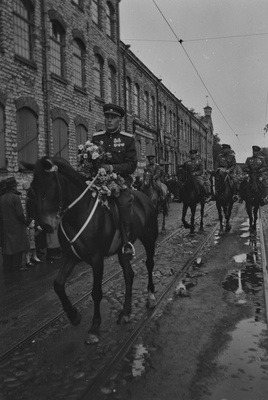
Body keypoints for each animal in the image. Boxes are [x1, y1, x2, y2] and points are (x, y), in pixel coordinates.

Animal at [22, 156, 159, 344]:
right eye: (33, 191)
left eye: (50, 186)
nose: (45, 226)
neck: (77, 215)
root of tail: (145, 197)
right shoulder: (70, 257)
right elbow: (58, 284)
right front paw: (73, 315)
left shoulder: (97, 260)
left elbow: (96, 292)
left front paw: (94, 327)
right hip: (122, 252)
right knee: (129, 275)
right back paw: (125, 312)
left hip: (149, 238)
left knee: (150, 264)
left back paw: (150, 297)